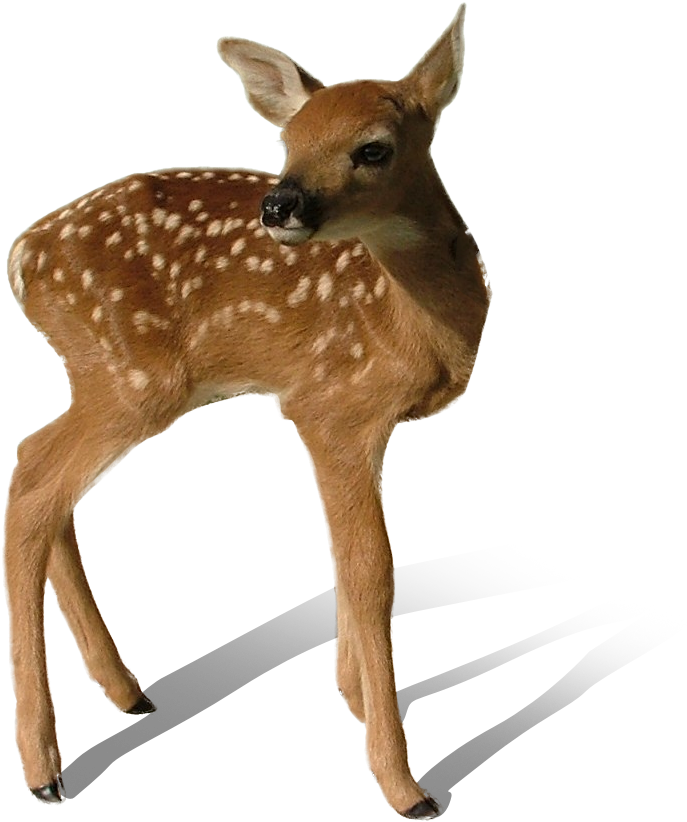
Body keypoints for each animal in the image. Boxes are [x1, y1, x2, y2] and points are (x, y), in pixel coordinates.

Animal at [3, 4, 489, 817]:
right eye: (286, 143)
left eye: (372, 148)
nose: (279, 204)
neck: (414, 318)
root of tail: (20, 259)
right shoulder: (331, 407)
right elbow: (372, 570)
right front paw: (402, 783)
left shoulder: (351, 422)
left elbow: (343, 557)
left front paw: (351, 696)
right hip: (134, 379)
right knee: (35, 487)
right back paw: (44, 769)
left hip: (102, 378)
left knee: (37, 471)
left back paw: (126, 692)